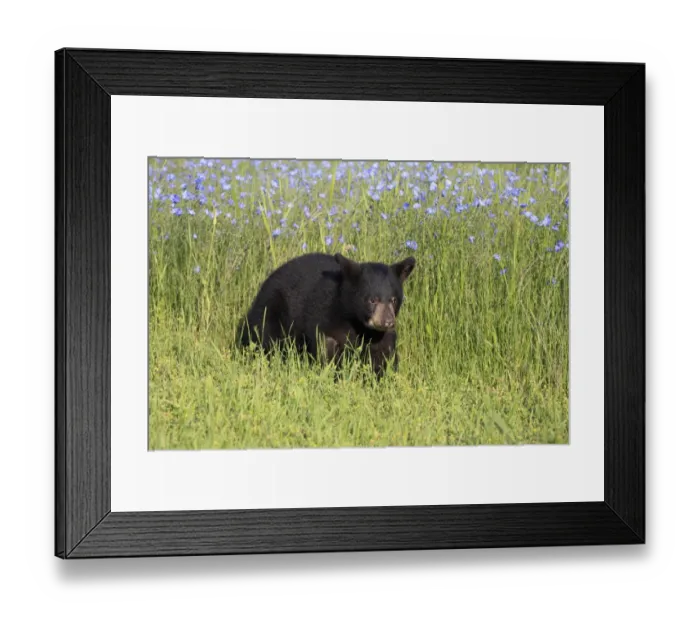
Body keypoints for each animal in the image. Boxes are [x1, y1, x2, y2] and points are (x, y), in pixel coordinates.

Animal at [238, 252, 416, 378]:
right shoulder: (325, 315)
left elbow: (383, 353)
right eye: (372, 299)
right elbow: (326, 348)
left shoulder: (378, 335)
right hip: (271, 311)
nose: (387, 321)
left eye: (393, 299)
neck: (355, 321)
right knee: (265, 339)